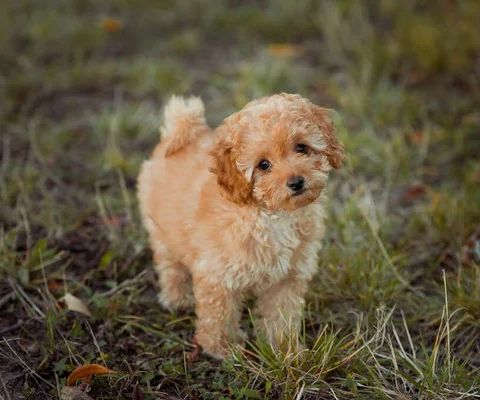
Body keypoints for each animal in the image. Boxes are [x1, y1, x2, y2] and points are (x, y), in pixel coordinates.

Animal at [137, 94, 344, 360]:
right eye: (263, 165)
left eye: (301, 148)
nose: (297, 182)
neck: (270, 215)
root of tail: (180, 131)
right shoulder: (218, 276)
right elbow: (219, 316)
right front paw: (222, 348)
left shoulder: (287, 277)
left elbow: (281, 315)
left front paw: (285, 349)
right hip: (163, 233)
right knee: (171, 267)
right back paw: (177, 299)